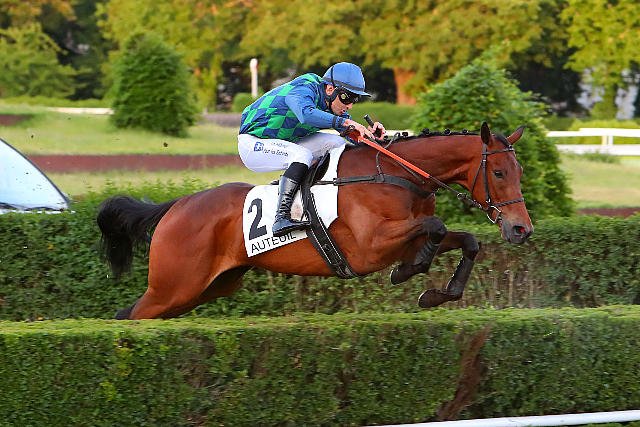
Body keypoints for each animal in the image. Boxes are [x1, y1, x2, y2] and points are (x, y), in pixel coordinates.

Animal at [97, 122, 533, 319]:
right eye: (498, 173)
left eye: (520, 171)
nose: (521, 229)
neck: (395, 174)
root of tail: (175, 206)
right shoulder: (370, 246)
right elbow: (437, 227)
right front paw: (410, 270)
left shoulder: (404, 236)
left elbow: (465, 240)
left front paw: (435, 293)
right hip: (174, 287)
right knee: (131, 316)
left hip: (203, 289)